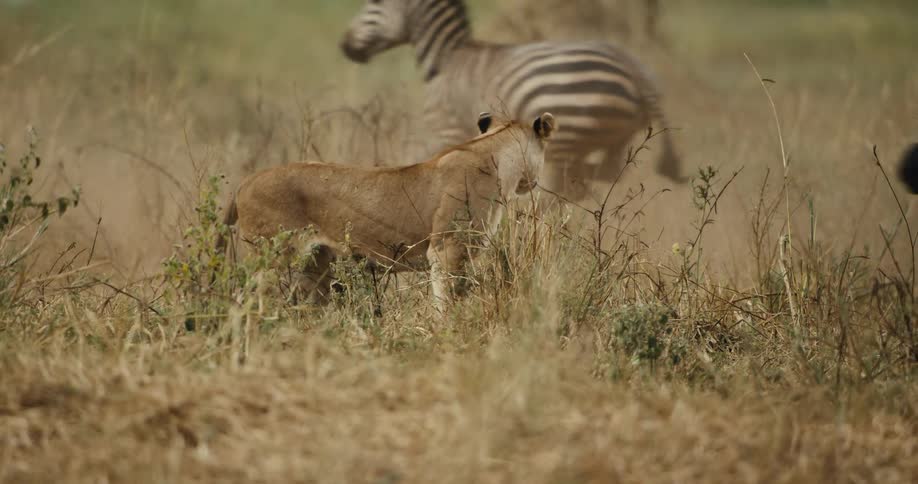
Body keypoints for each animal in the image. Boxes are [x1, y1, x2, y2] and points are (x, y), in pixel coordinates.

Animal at [219, 111, 556, 310]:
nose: (534, 182)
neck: (494, 150)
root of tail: (243, 184)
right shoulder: (447, 249)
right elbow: (447, 301)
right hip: (271, 262)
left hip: (314, 268)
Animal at [340, 0, 685, 200]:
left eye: (373, 2)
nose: (345, 47)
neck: (447, 57)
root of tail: (637, 72)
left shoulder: (446, 129)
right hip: (616, 137)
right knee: (608, 173)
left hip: (568, 132)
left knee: (565, 184)